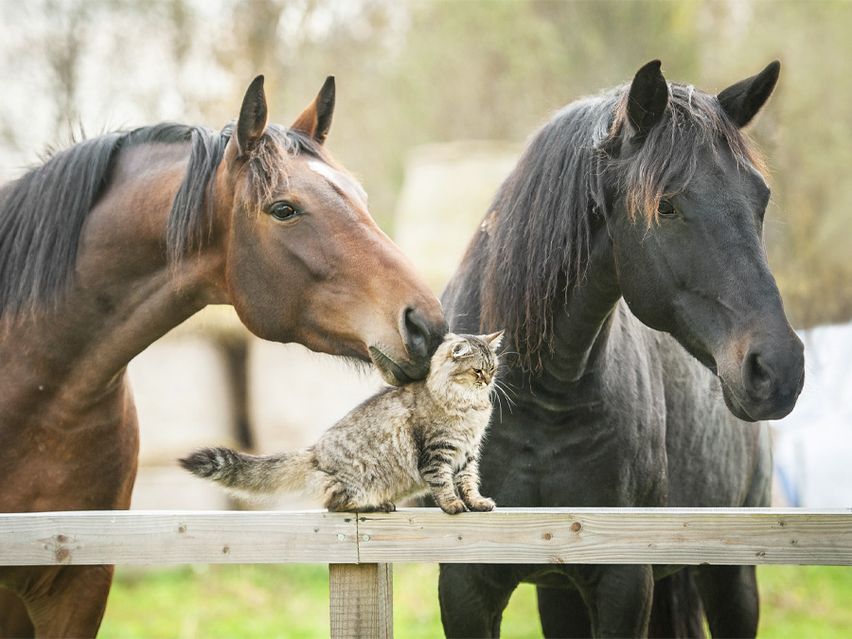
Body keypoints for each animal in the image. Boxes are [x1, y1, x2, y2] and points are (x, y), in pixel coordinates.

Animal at [178, 332, 500, 512]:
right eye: (477, 371)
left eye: (493, 368)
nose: (489, 381)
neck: (470, 406)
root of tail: (315, 452)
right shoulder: (437, 453)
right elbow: (444, 485)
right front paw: (454, 506)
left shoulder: (468, 455)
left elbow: (469, 483)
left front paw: (477, 504)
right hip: (356, 481)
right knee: (333, 504)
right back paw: (375, 505)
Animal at [440, 61, 804, 639]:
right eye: (666, 205)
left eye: (761, 199)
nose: (779, 368)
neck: (540, 400)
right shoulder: (465, 585)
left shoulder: (624, 581)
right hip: (560, 590)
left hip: (732, 580)